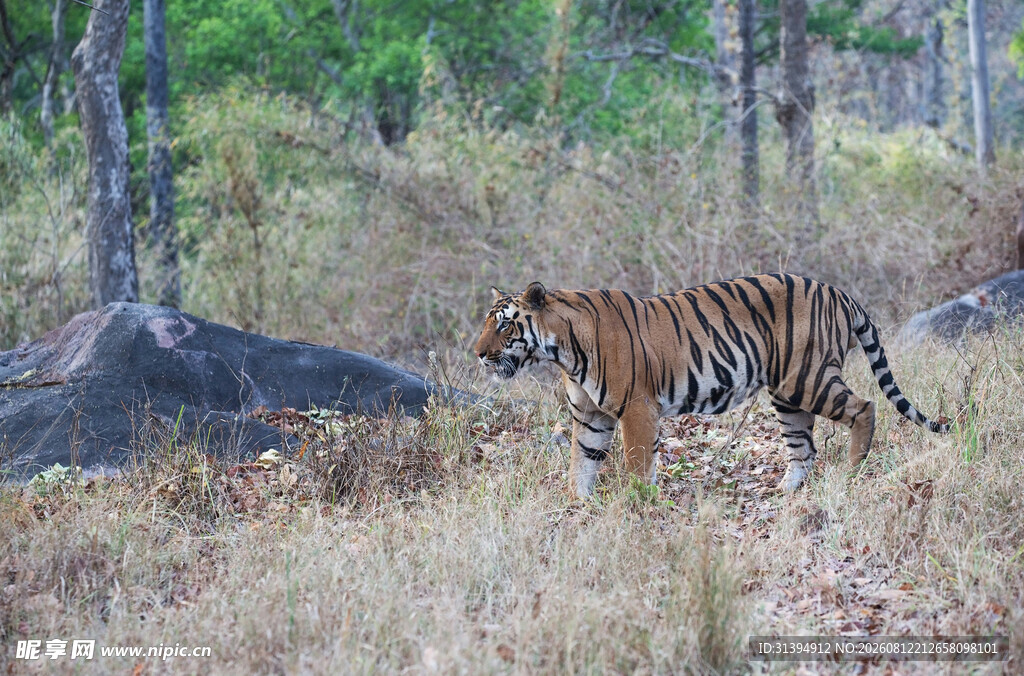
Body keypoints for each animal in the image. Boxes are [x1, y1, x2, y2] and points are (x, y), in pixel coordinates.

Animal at [473, 273, 950, 497]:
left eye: (504, 325)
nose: (477, 353)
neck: (563, 352)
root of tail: (840, 292)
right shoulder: (592, 417)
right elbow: (582, 463)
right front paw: (580, 504)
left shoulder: (636, 408)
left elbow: (635, 463)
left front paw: (637, 504)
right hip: (785, 394)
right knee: (804, 446)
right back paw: (786, 492)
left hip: (807, 378)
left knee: (864, 407)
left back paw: (851, 473)